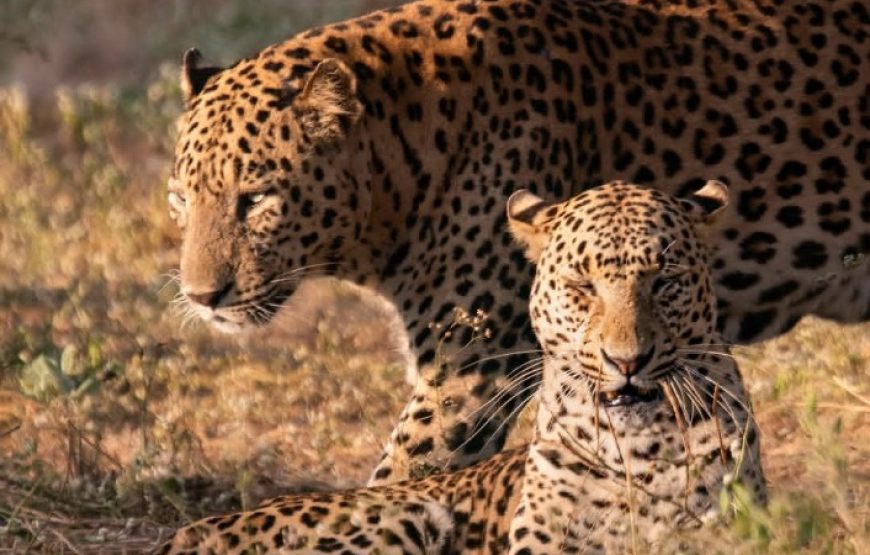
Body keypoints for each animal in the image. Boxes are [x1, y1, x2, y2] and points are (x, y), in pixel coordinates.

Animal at [157, 179, 766, 554]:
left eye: (666, 283)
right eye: (582, 286)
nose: (627, 360)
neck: (638, 447)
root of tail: (180, 535)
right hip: (404, 516)